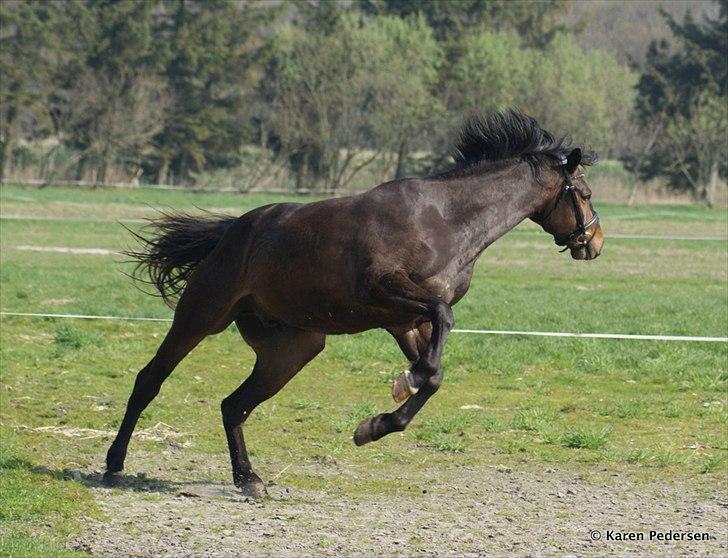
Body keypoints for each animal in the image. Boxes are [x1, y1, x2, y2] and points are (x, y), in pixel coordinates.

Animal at [104, 110, 604, 498]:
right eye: (584, 194)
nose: (595, 242)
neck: (445, 221)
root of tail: (231, 233)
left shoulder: (406, 320)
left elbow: (435, 375)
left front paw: (374, 425)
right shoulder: (385, 291)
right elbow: (442, 327)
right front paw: (403, 384)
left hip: (292, 349)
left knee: (234, 406)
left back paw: (249, 480)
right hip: (201, 317)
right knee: (149, 381)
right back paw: (114, 465)